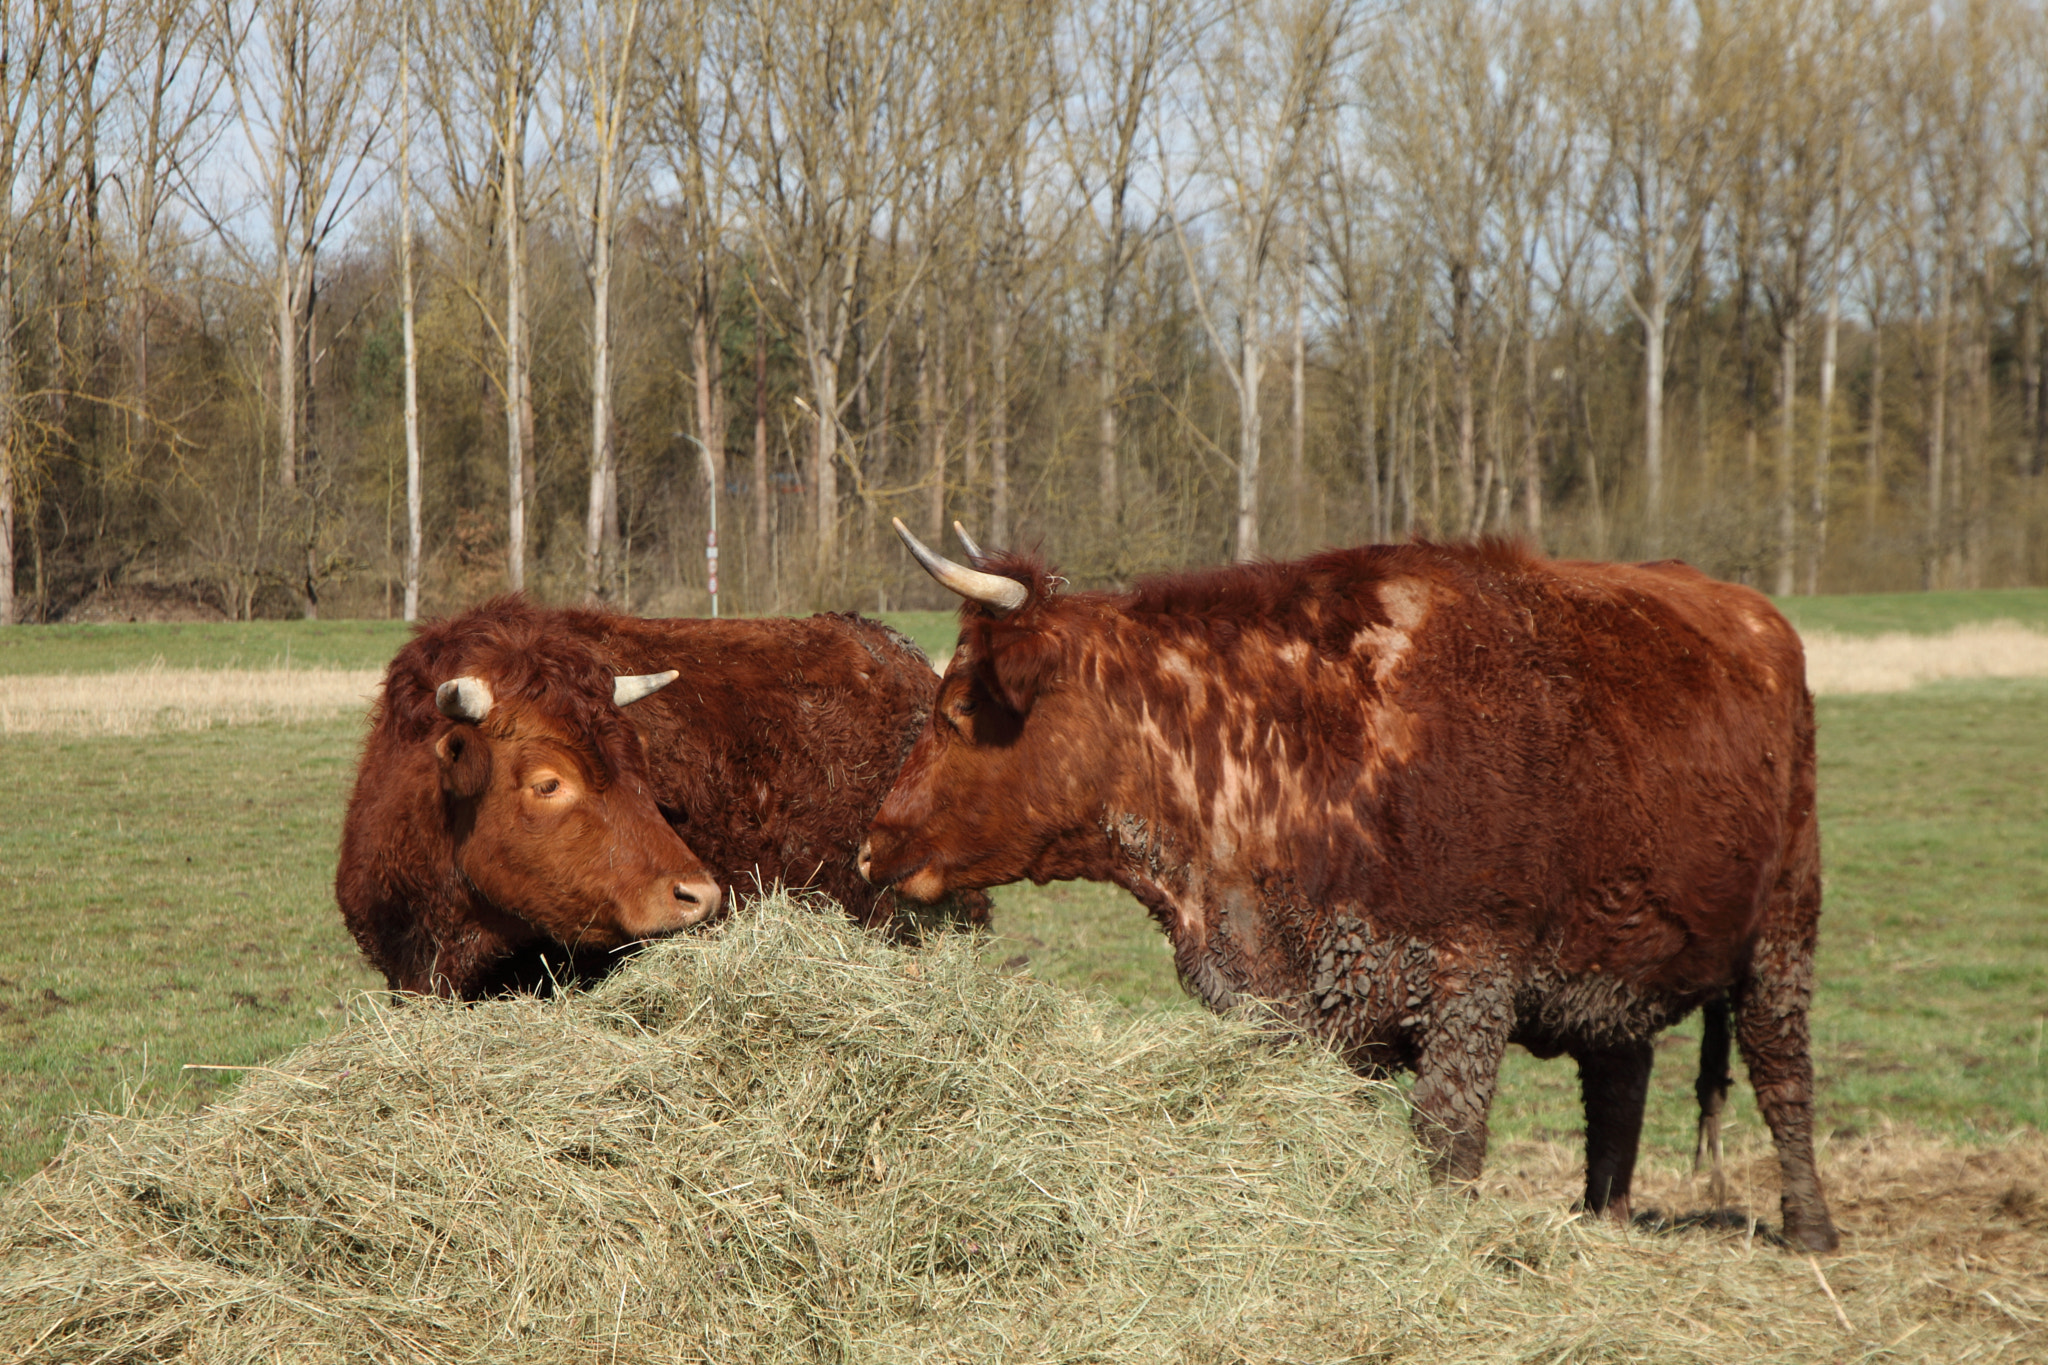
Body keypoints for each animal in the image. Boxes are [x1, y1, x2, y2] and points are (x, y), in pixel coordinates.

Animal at [856, 527, 1851, 1252]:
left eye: (958, 708)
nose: (873, 843)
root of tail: (1752, 611)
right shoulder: (1305, 1006)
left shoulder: (1470, 977)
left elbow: (1447, 1140)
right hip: (1618, 942)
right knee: (1620, 1079)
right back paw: (1601, 1216)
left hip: (1784, 927)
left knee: (1782, 1075)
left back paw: (1809, 1228)